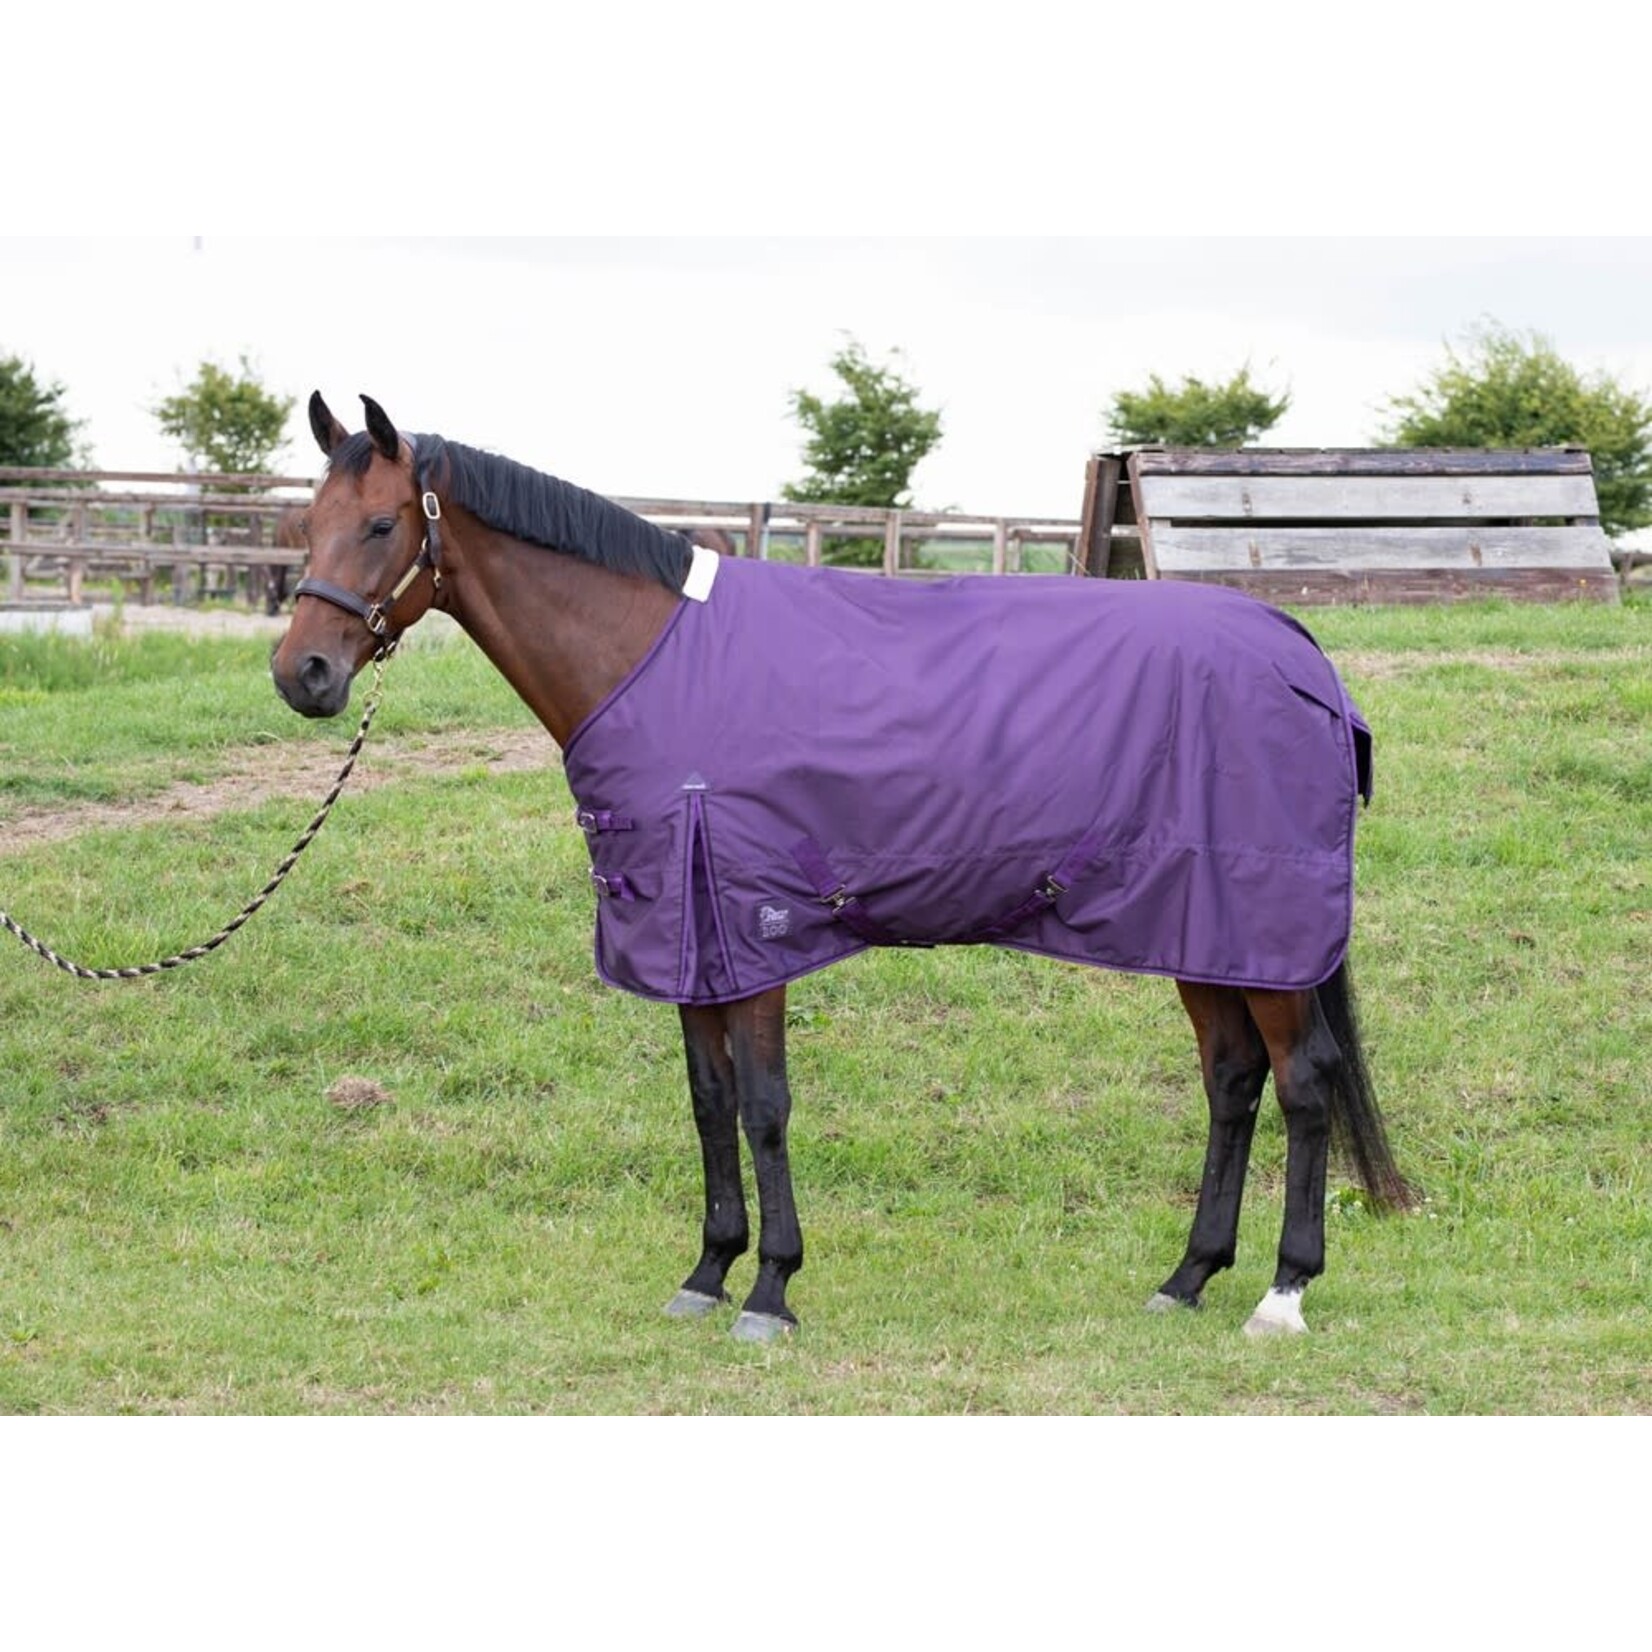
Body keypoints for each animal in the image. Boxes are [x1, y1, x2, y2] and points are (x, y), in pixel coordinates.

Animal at [272, 392, 1412, 1344]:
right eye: (306, 525)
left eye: (382, 526)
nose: (303, 674)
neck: (653, 657)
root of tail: (1299, 650)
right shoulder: (690, 943)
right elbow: (708, 1099)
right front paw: (707, 1271)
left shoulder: (753, 929)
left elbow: (764, 1105)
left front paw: (770, 1289)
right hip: (1201, 927)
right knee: (1231, 1078)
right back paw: (1187, 1276)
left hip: (1260, 930)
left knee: (1302, 1081)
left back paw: (1280, 1293)